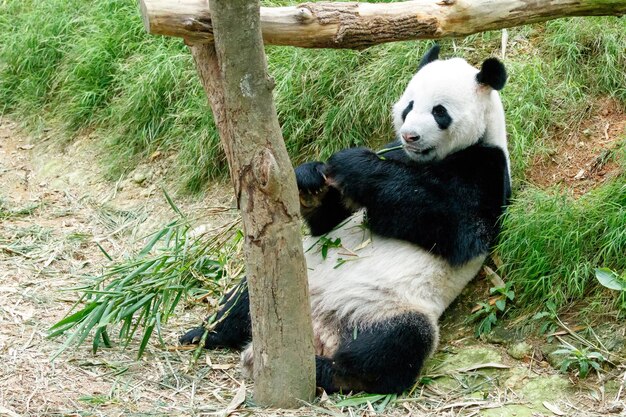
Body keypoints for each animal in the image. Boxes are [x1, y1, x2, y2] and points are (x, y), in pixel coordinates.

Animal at [178, 45, 510, 394]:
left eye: (439, 112)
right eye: (409, 106)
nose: (410, 136)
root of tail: (319, 328)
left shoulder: (485, 169)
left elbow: (456, 227)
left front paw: (353, 164)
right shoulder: (395, 151)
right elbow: (327, 221)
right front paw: (311, 180)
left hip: (390, 308)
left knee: (394, 346)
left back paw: (323, 370)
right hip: (302, 276)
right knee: (244, 300)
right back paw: (203, 334)